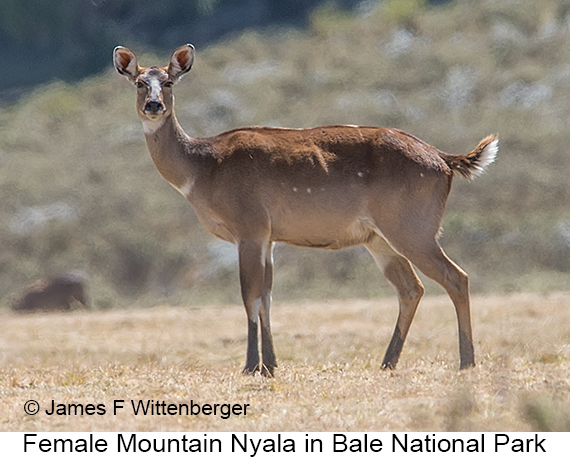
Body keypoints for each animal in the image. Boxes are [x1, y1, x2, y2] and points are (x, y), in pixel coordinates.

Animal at [113, 44, 494, 376]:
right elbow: (267, 295)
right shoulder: (269, 237)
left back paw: (466, 361)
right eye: (139, 82)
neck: (203, 171)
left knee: (456, 277)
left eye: (169, 81)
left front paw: (251, 366)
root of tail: (445, 160)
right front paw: (270, 365)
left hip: (412, 228)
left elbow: (250, 295)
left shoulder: (250, 227)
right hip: (378, 238)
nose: (153, 105)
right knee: (411, 288)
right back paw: (388, 362)